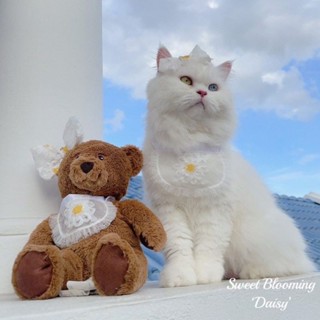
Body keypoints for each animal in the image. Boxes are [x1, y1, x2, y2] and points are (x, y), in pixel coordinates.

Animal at [142, 43, 316, 286]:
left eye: (213, 87)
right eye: (185, 80)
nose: (203, 93)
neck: (191, 144)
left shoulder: (215, 210)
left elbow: (208, 247)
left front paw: (206, 276)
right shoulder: (169, 211)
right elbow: (179, 248)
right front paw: (180, 277)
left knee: (285, 266)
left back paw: (251, 273)